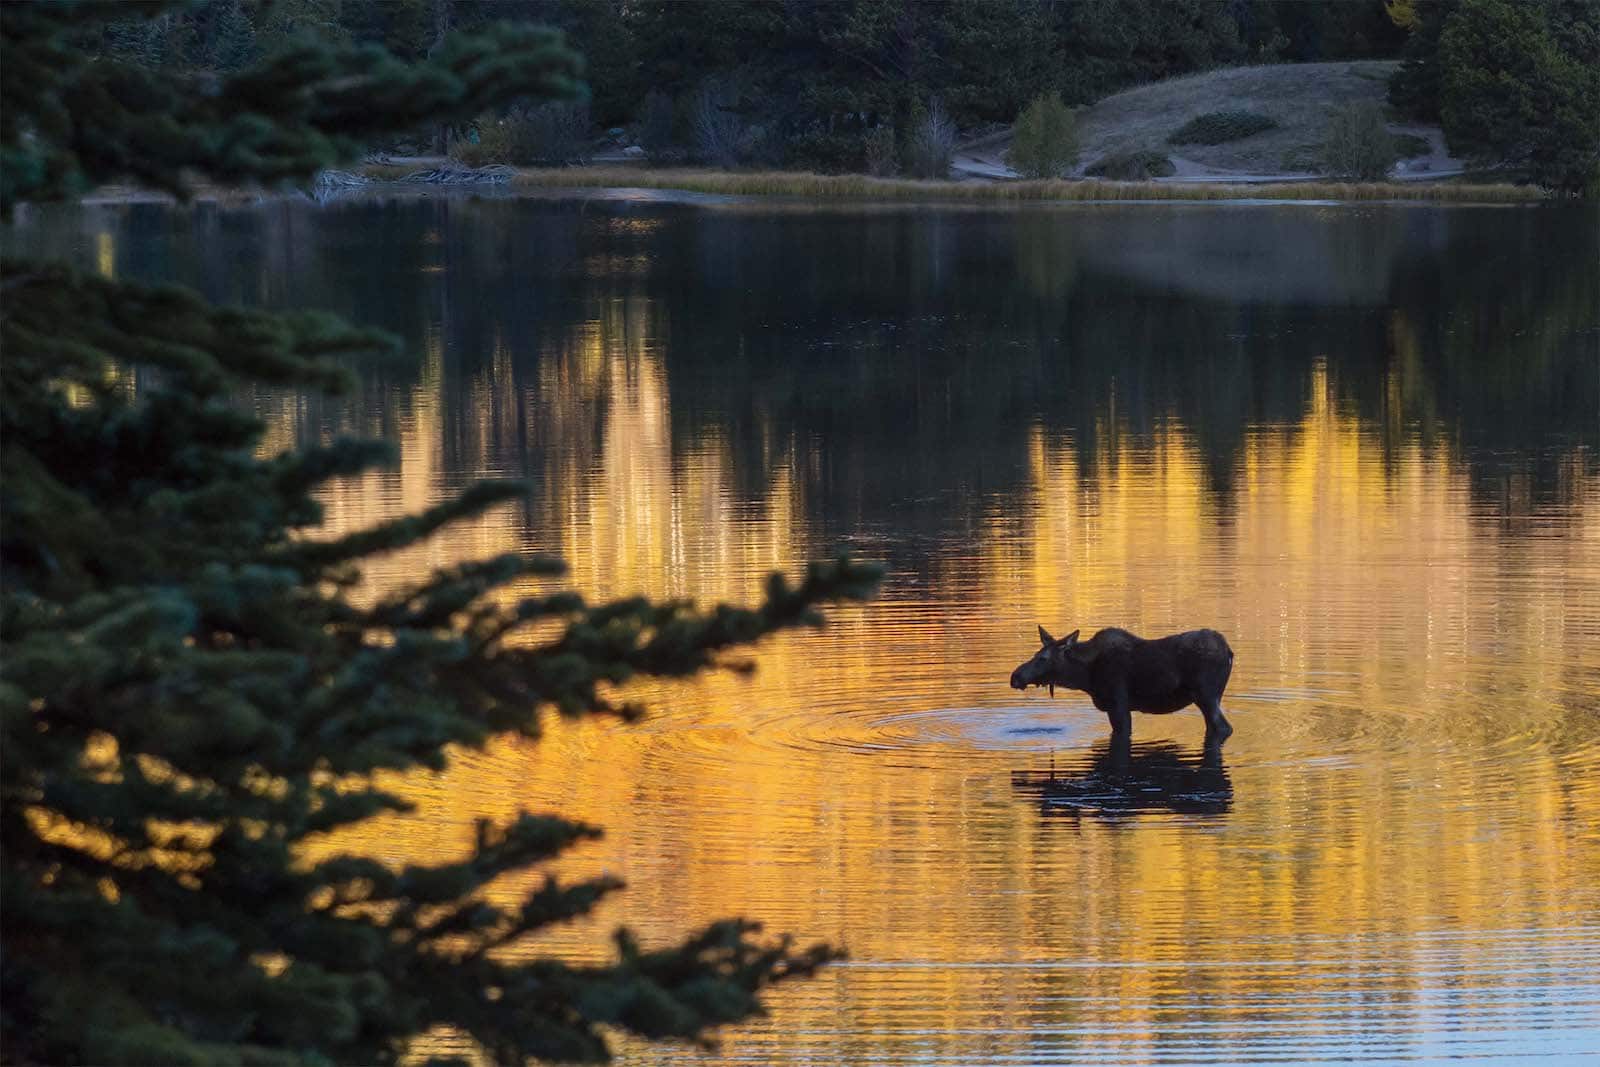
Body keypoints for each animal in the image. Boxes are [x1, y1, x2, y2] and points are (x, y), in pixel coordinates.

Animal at [1011, 620, 1235, 748]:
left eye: (1042, 658)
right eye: (1035, 654)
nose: (1015, 676)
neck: (1084, 676)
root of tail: (1230, 651)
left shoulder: (1118, 705)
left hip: (1207, 696)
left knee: (1223, 727)